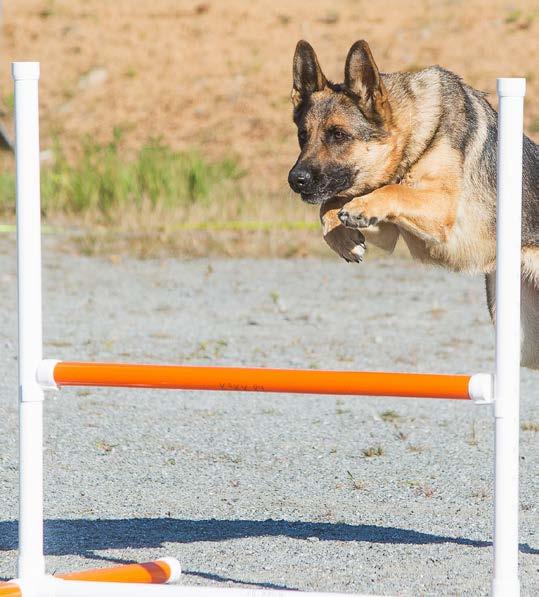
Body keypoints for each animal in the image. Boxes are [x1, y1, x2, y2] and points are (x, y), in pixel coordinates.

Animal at [286, 39, 539, 366]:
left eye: (339, 135)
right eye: (303, 136)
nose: (295, 180)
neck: (414, 137)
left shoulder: (441, 207)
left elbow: (392, 191)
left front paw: (356, 209)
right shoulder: (390, 229)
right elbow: (330, 203)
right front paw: (344, 237)